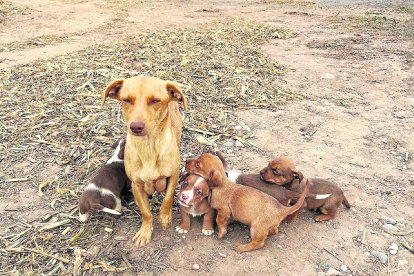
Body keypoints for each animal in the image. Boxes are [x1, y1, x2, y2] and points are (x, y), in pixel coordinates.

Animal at [102, 75, 188, 246]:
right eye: (127, 100)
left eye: (155, 101)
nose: (135, 127)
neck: (148, 148)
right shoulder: (136, 185)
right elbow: (146, 212)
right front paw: (145, 231)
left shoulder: (174, 175)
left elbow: (168, 198)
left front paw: (165, 217)